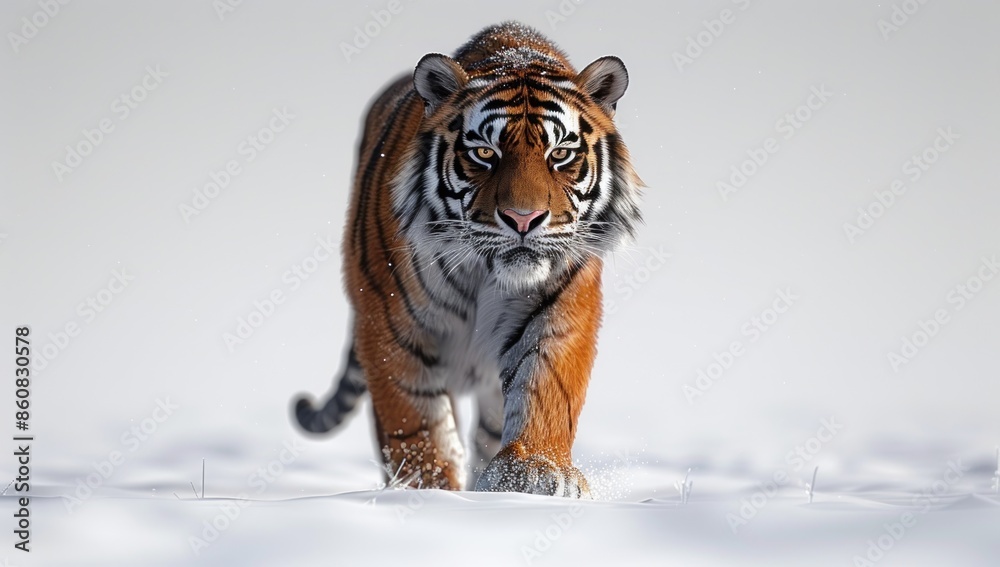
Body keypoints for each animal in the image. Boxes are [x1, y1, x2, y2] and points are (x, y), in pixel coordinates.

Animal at [293, 21, 642, 498]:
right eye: (484, 153)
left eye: (560, 154)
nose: (523, 218)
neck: (487, 274)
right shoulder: (389, 323)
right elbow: (415, 422)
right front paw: (430, 490)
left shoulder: (562, 307)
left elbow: (546, 389)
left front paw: (533, 472)